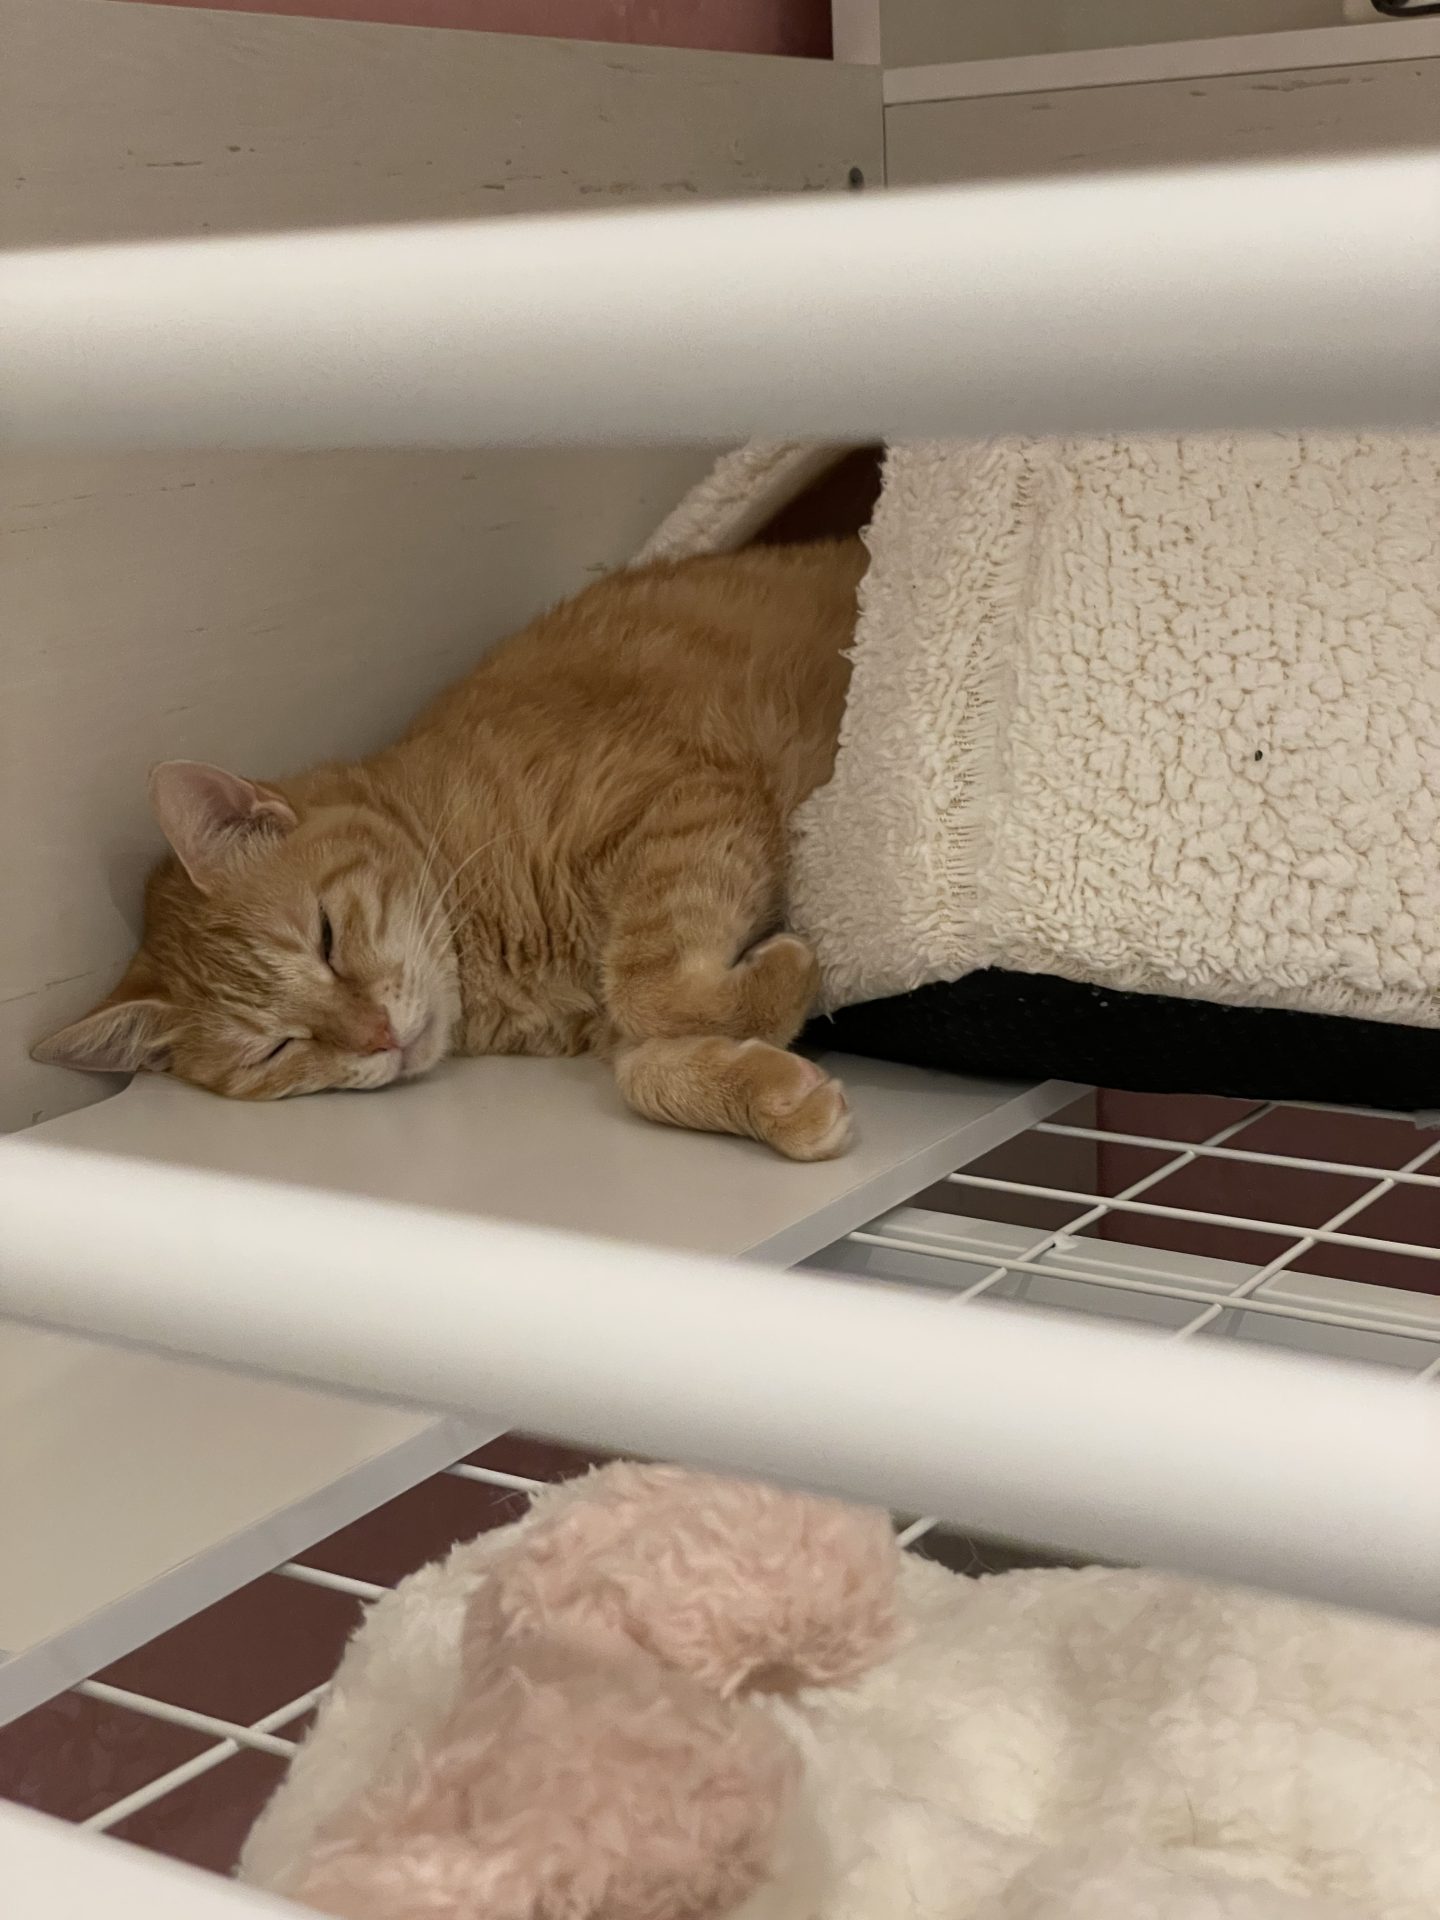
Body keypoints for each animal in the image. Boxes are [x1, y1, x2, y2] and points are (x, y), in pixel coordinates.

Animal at [35, 539, 867, 1160]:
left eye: (326, 939)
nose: (377, 1036)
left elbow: (648, 986)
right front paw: (776, 1092)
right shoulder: (611, 1022)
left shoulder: (688, 799)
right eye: (275, 1049)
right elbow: (644, 1063)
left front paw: (792, 971)